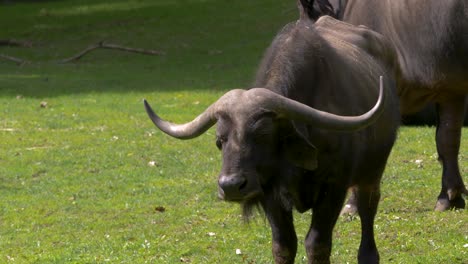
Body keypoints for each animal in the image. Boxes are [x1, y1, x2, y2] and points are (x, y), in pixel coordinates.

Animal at [144, 1, 398, 262]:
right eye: (219, 140)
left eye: (262, 136)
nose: (231, 186)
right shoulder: (269, 191)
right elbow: (283, 244)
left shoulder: (334, 187)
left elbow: (316, 243)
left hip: (372, 173)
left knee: (368, 210)